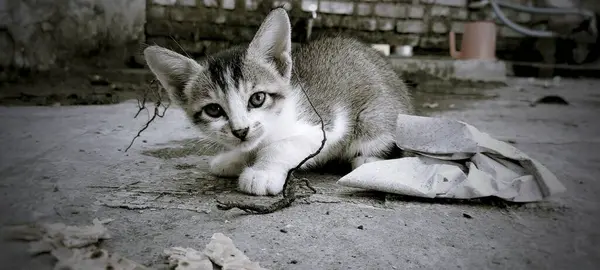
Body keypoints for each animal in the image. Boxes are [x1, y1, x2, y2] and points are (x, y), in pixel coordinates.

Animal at [142, 6, 412, 196]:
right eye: (214, 110)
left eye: (257, 98)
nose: (241, 131)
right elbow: (249, 149)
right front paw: (232, 159)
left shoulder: (323, 129)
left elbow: (282, 146)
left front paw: (261, 173)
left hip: (374, 116)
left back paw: (367, 162)